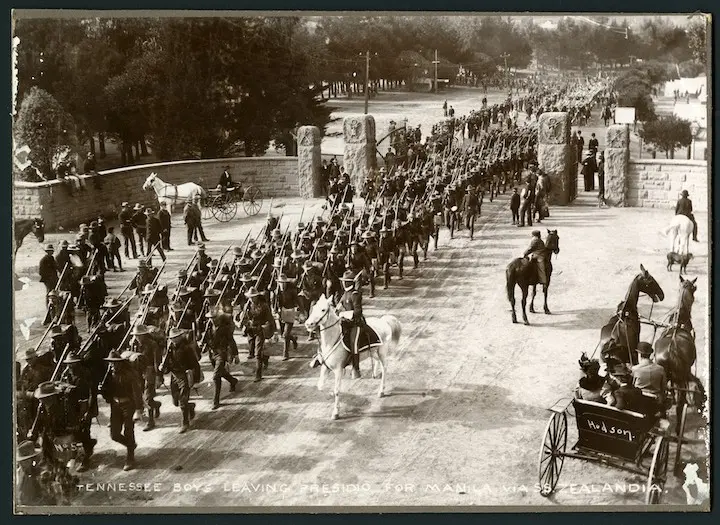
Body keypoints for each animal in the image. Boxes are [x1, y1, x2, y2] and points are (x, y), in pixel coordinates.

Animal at [302, 292, 402, 420]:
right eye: (313, 308)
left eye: (323, 309)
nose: (308, 324)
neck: (332, 339)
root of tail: (383, 321)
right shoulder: (325, 367)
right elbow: (321, 386)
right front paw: (331, 395)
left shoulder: (338, 370)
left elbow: (337, 390)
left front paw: (336, 412)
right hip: (372, 351)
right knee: (377, 362)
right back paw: (375, 373)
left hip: (382, 351)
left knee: (385, 368)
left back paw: (381, 391)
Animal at [652, 278, 704, 434]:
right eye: (693, 288)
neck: (679, 322)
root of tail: (671, 350)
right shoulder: (685, 373)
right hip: (679, 378)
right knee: (680, 403)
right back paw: (676, 428)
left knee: (661, 400)